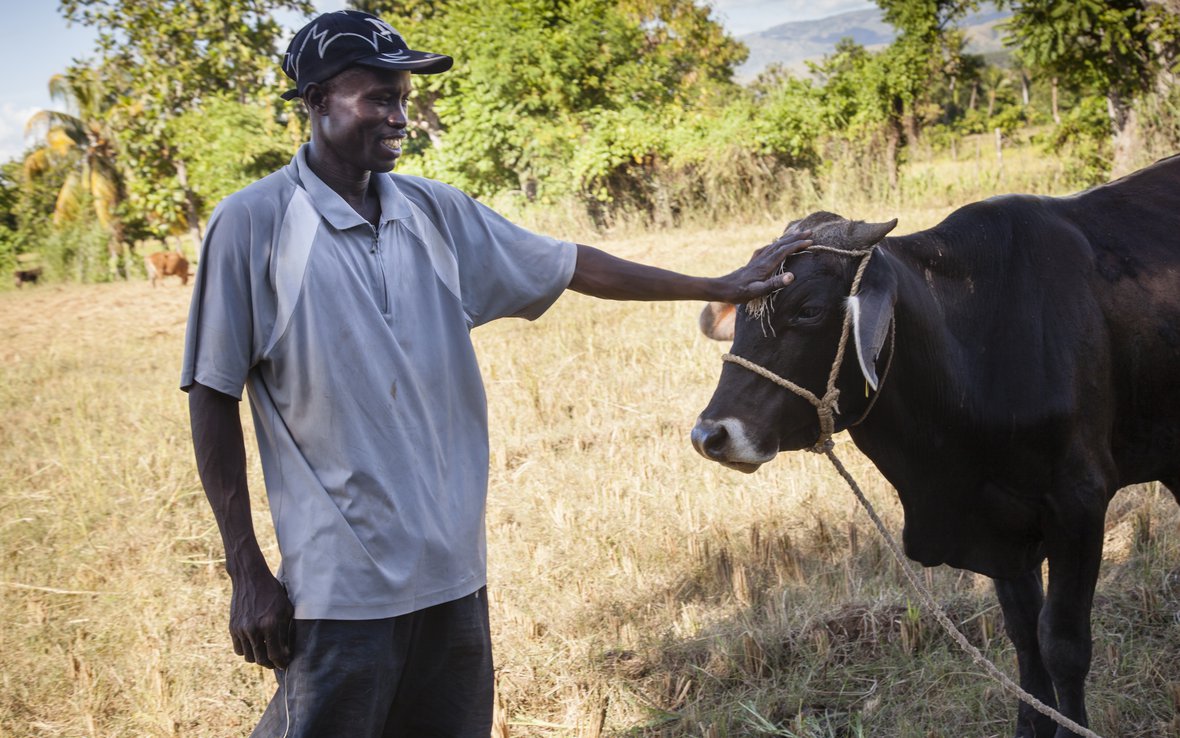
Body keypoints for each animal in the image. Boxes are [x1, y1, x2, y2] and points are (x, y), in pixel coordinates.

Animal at [690, 154, 1180, 738]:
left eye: (808, 309)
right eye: (741, 312)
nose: (711, 435)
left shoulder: (1079, 504)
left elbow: (1063, 646)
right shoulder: (1000, 525)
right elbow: (1024, 638)